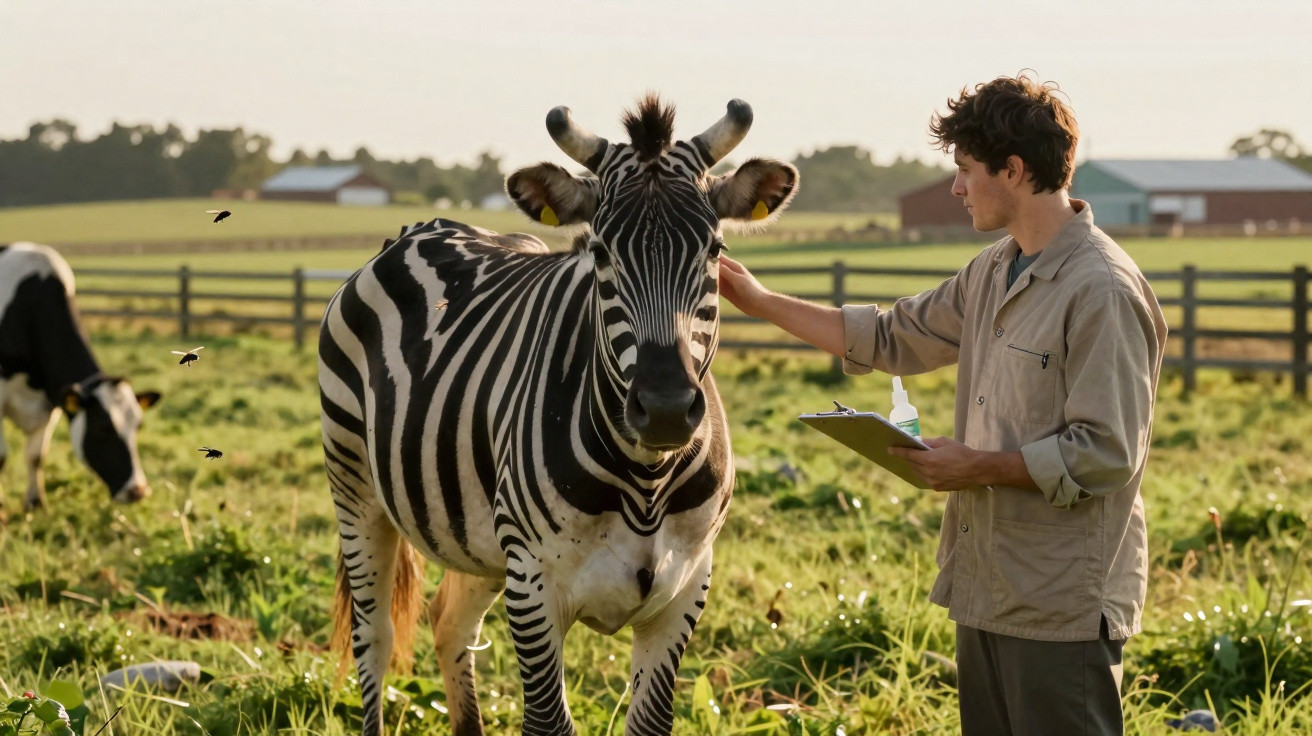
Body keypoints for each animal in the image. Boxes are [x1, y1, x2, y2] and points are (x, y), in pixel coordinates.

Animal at [319, 95, 797, 736]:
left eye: (715, 251)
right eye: (599, 253)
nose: (667, 410)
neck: (646, 481)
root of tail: (421, 229)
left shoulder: (684, 589)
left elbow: (650, 723)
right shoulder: (534, 584)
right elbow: (547, 722)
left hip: (477, 532)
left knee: (449, 624)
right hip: (357, 487)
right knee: (374, 636)